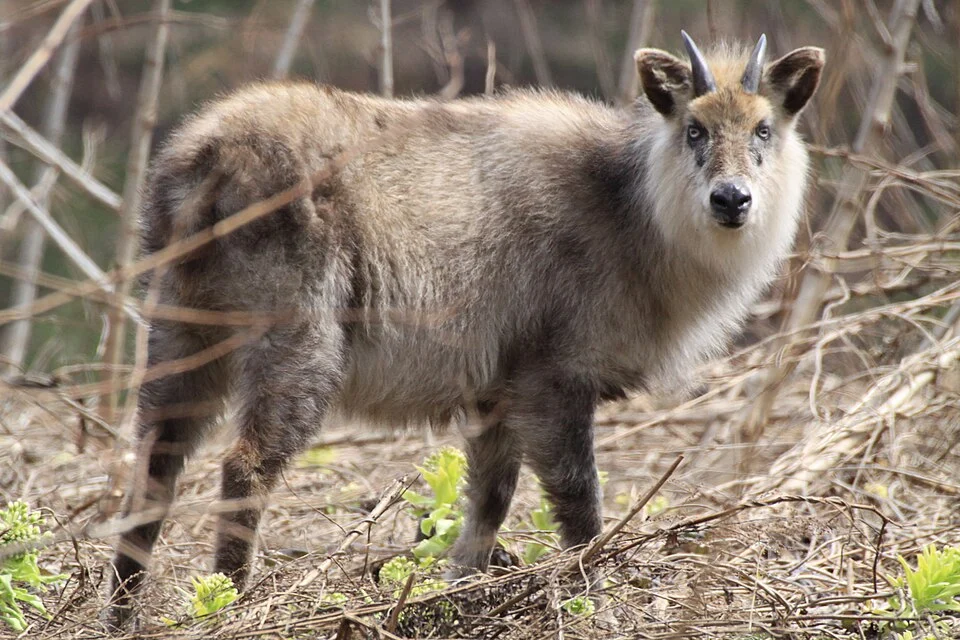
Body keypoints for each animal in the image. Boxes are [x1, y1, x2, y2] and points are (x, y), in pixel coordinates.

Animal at [104, 31, 824, 628]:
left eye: (764, 129)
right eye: (695, 129)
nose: (732, 200)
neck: (630, 207)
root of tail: (207, 160)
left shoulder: (494, 394)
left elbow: (488, 503)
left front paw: (455, 595)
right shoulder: (551, 378)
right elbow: (577, 499)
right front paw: (594, 597)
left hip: (182, 333)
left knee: (154, 465)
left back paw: (120, 614)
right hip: (297, 342)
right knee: (244, 466)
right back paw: (229, 602)